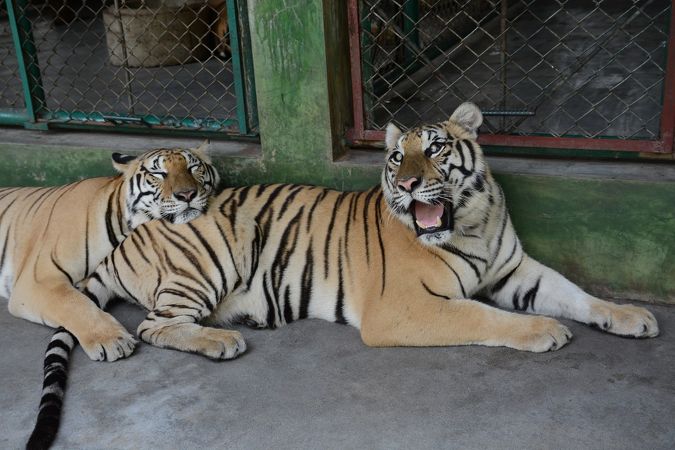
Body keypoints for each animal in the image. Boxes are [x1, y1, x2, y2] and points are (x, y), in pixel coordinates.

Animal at [4, 144, 219, 450]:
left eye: (193, 167)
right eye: (159, 173)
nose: (187, 194)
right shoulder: (37, 279)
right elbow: (75, 303)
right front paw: (112, 341)